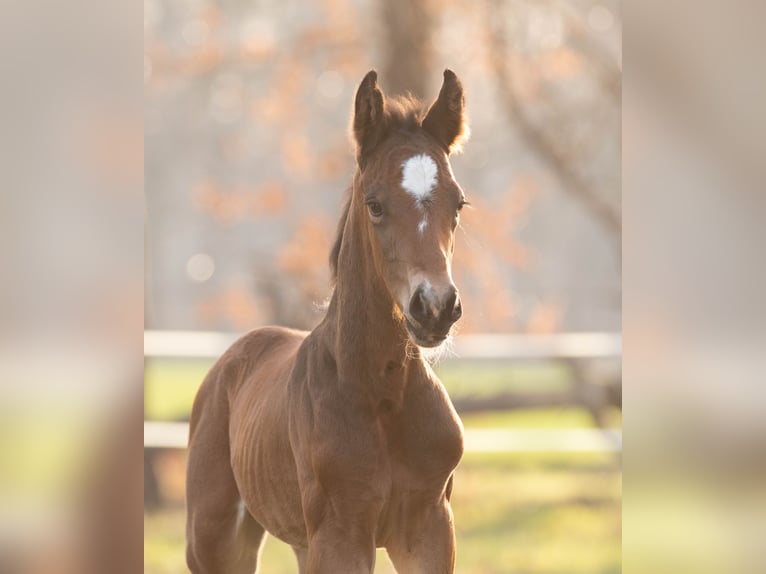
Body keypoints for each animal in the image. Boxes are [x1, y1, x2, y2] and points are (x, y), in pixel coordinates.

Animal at [186, 69, 471, 574]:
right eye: (375, 204)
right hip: (214, 540)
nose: (435, 307)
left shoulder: (430, 528)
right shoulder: (342, 534)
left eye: (458, 204)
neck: (383, 395)